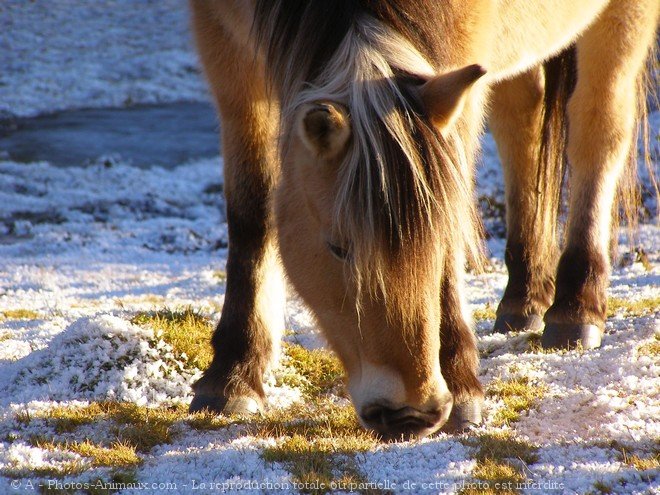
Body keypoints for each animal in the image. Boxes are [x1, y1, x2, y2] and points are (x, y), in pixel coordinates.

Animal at [188, 0, 656, 442]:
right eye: (338, 248)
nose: (408, 413)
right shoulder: (225, 48)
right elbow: (251, 213)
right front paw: (232, 374)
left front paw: (461, 386)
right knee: (522, 116)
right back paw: (523, 297)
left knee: (599, 126)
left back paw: (577, 306)